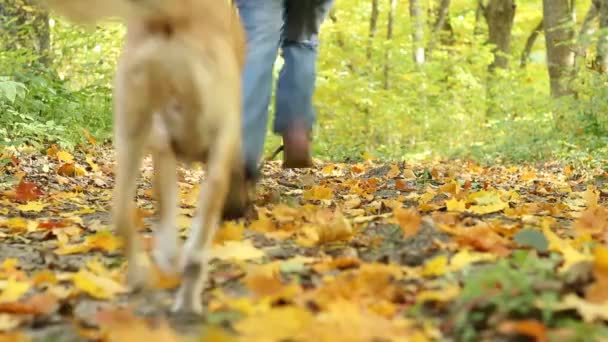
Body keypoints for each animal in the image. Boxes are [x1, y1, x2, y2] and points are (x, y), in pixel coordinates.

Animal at [40, 0, 247, 312]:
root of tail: (179, 12)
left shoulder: (163, 152)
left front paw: (165, 254)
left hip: (131, 129)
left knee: (121, 212)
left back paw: (141, 277)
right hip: (219, 138)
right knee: (199, 242)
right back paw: (187, 294)